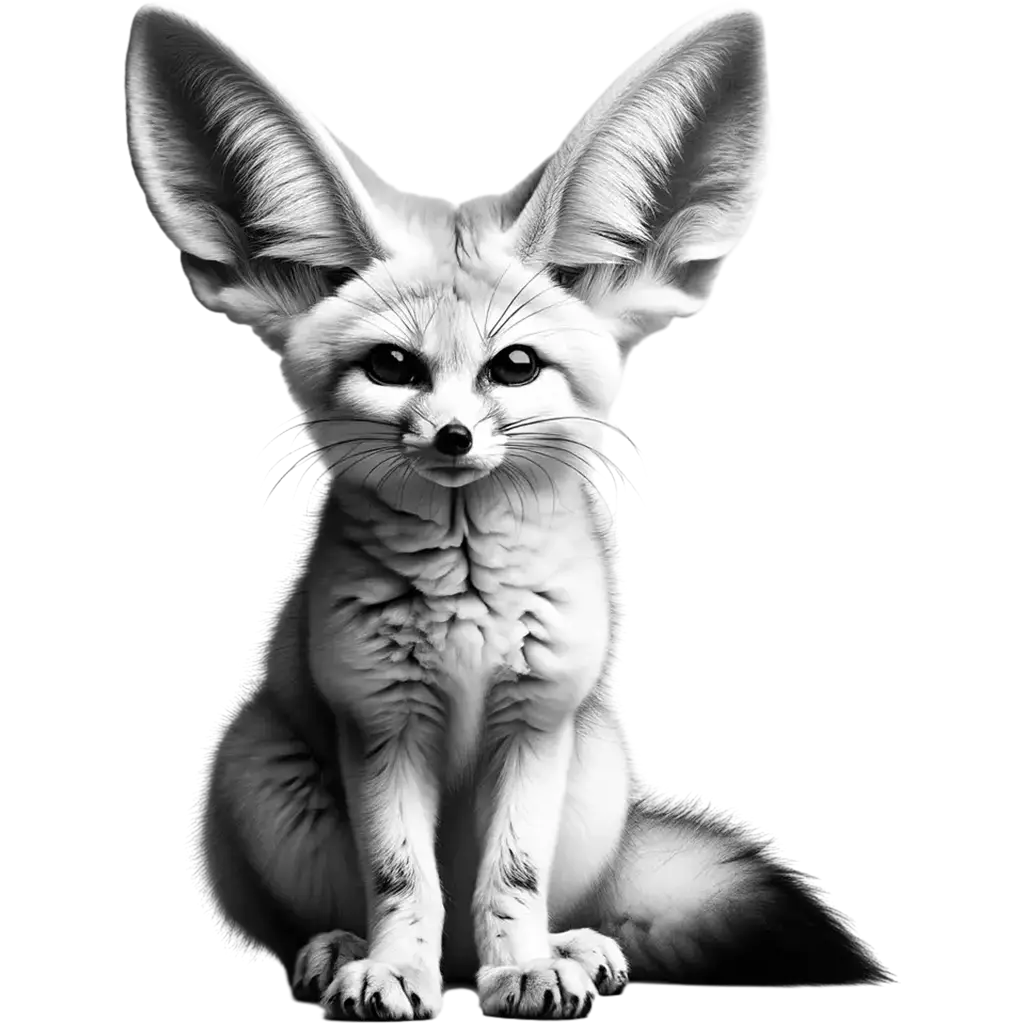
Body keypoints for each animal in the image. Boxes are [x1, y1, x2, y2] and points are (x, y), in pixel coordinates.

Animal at [125, 2, 901, 1018]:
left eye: (516, 366)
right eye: (393, 367)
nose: (454, 437)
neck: (466, 607)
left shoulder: (536, 720)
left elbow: (512, 875)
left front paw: (527, 967)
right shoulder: (382, 722)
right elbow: (402, 876)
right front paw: (393, 970)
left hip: (592, 775)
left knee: (540, 906)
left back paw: (572, 948)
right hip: (265, 774)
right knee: (343, 918)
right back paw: (344, 951)